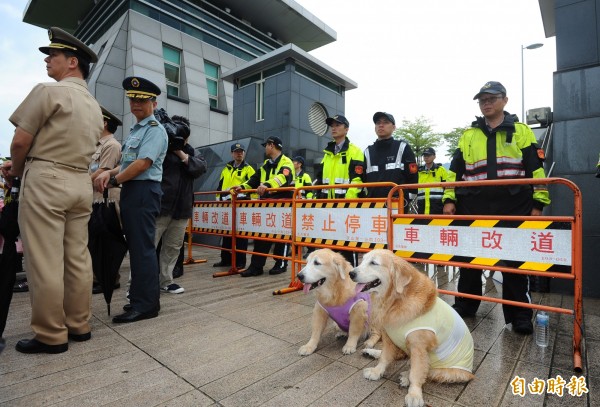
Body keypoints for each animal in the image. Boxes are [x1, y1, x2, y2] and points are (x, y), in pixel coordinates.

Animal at [352, 249, 474, 407]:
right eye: (362, 260)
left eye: (373, 263)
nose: (351, 273)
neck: (396, 300)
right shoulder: (388, 337)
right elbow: (385, 357)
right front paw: (376, 371)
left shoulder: (418, 347)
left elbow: (417, 372)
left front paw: (414, 394)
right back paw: (371, 352)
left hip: (451, 373)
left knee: (427, 371)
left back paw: (405, 377)